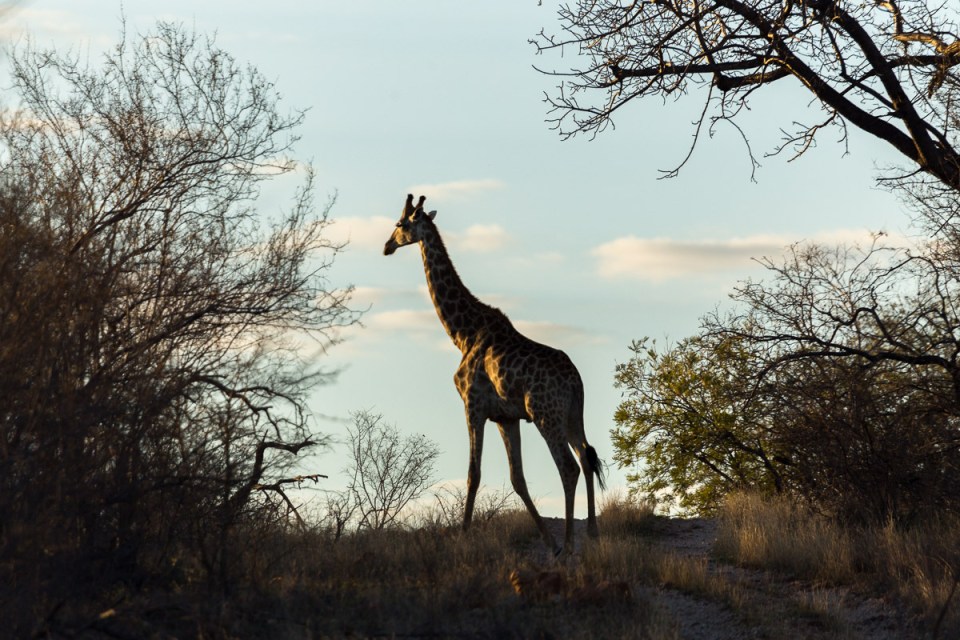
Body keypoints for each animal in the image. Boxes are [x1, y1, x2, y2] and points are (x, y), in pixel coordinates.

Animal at [383, 194, 605, 554]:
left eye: (400, 224)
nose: (387, 246)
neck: (463, 332)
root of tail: (576, 381)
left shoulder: (472, 405)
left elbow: (473, 474)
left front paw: (462, 536)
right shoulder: (506, 417)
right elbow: (518, 479)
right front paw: (547, 541)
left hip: (546, 415)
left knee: (568, 467)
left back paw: (570, 545)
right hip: (573, 415)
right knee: (586, 457)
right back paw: (592, 535)